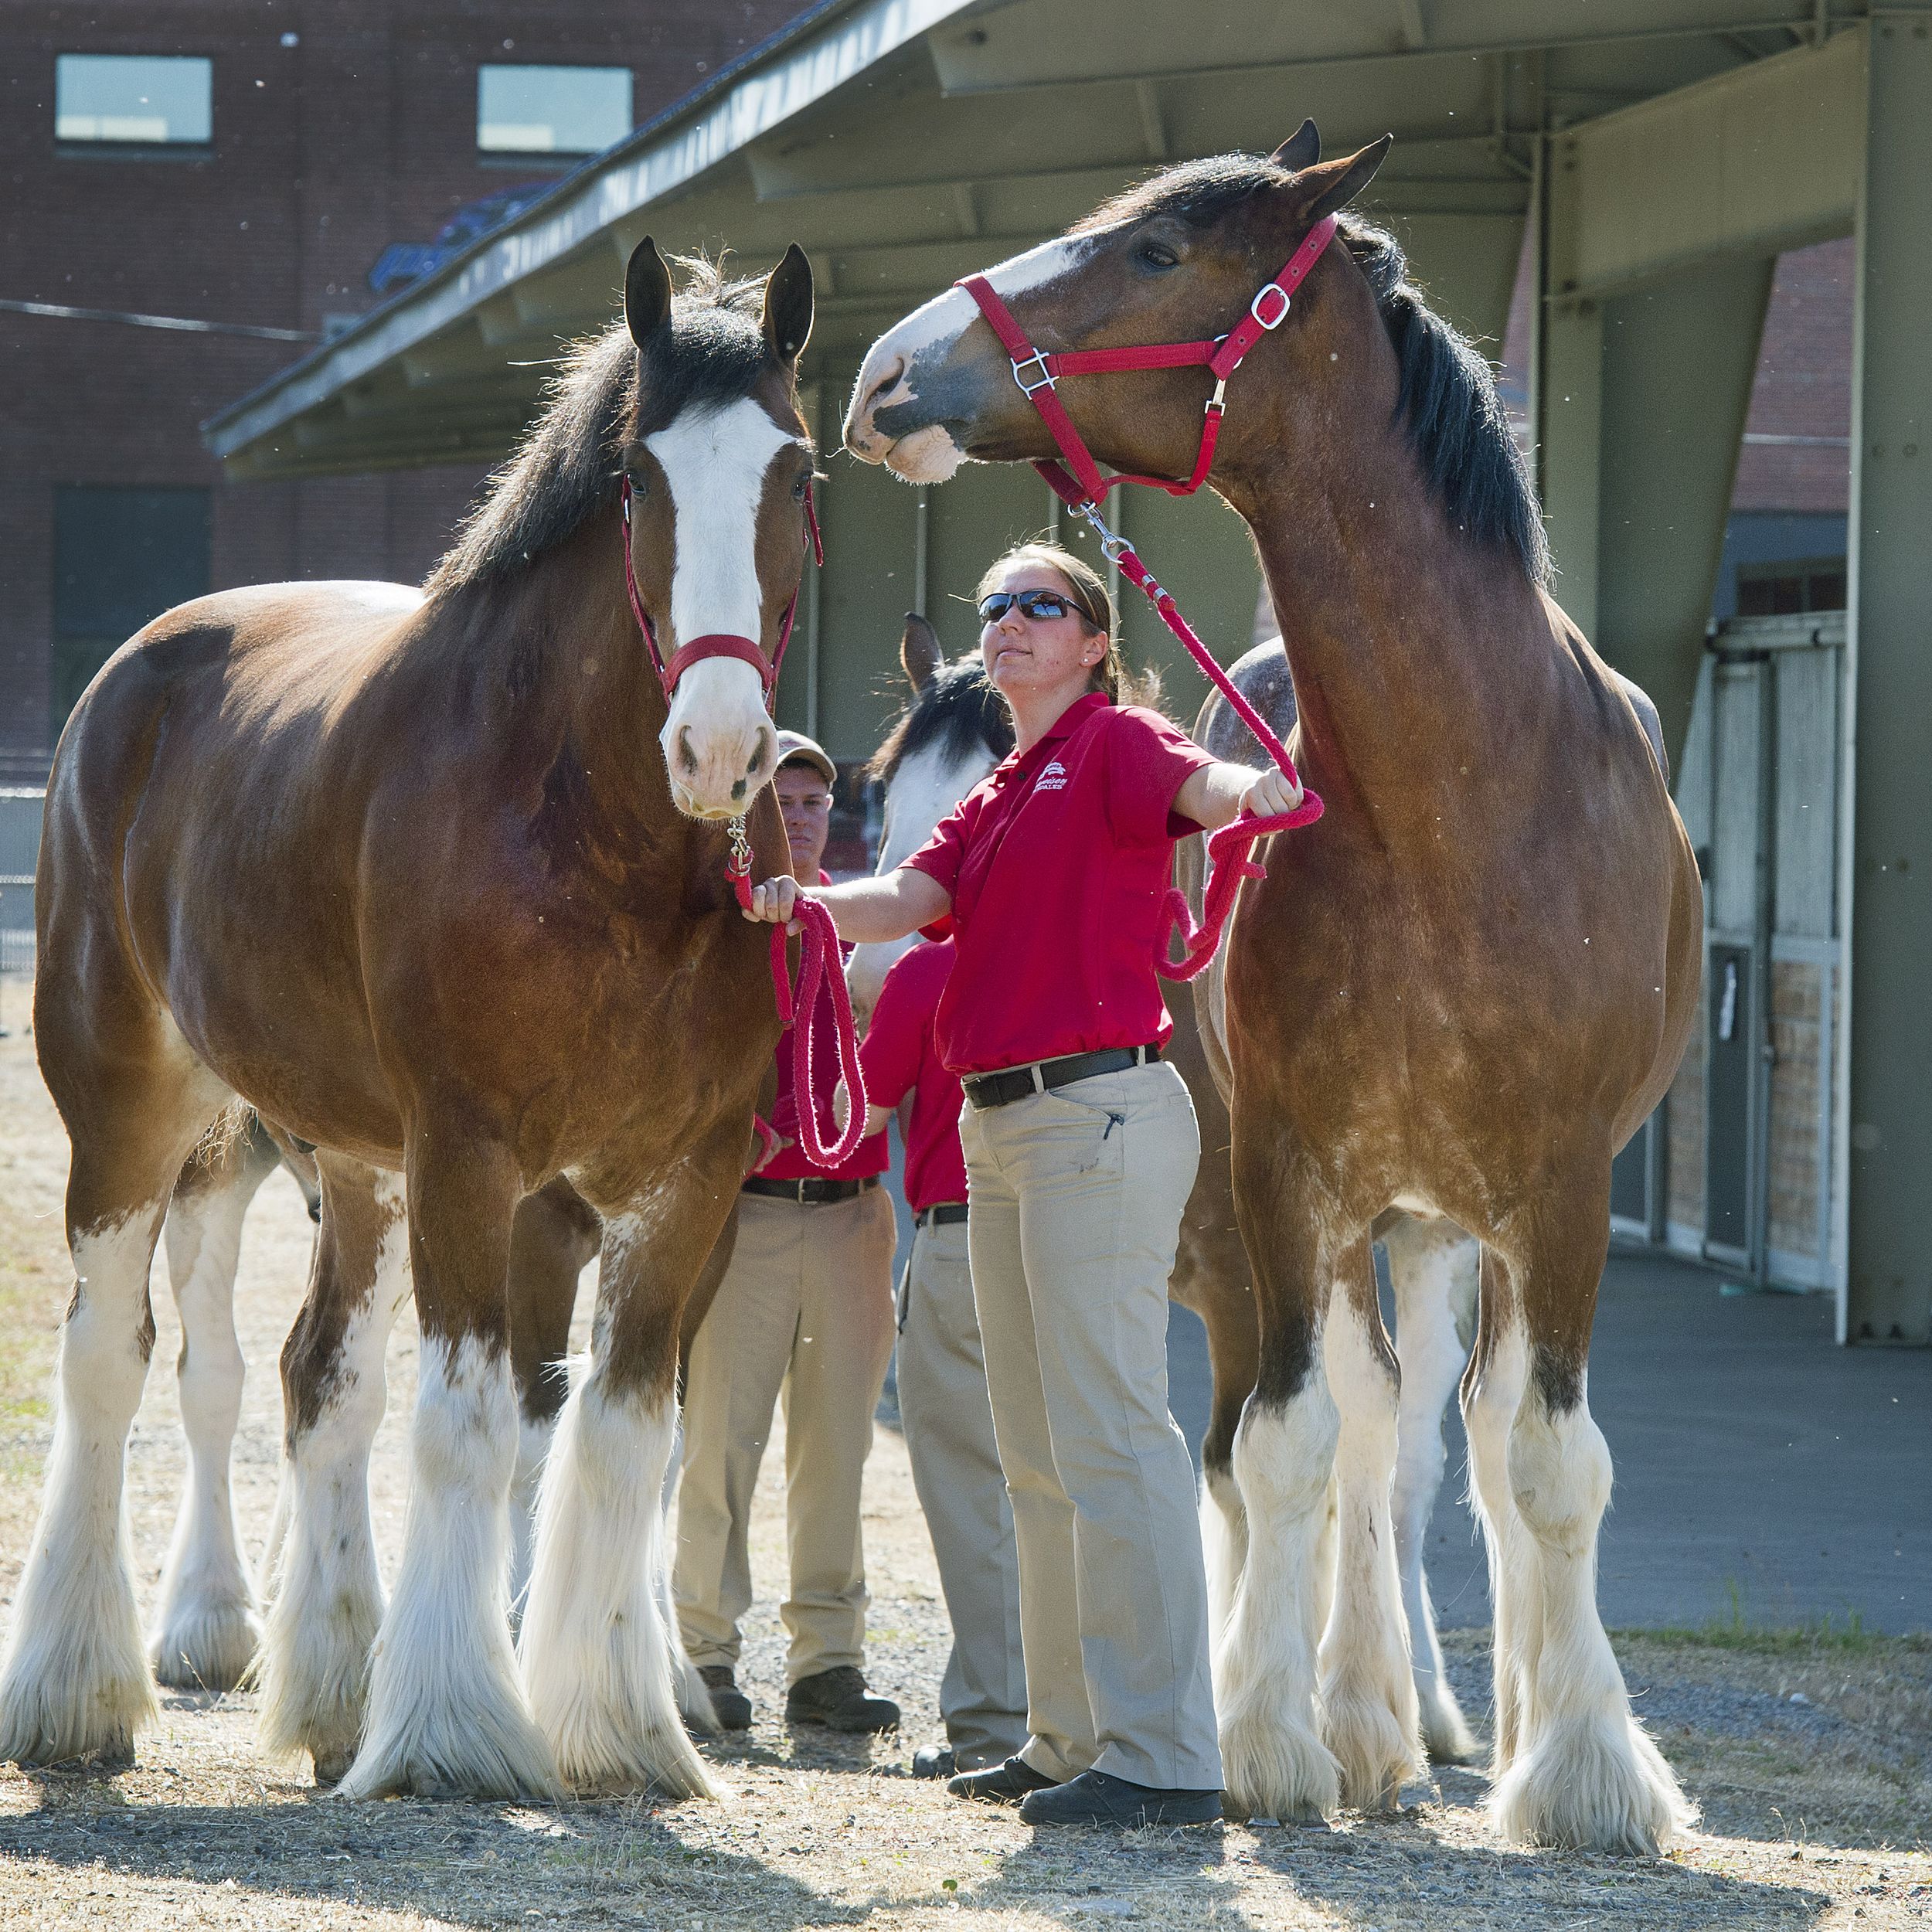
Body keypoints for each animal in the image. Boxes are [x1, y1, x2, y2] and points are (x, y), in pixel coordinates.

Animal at [0, 241, 815, 1793]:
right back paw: (77, 1693)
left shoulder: (686, 1179)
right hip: (137, 1114)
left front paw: (622, 1726)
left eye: (797, 472)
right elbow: (471, 1426)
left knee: (325, 1380)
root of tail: (128, 682)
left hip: (355, 1164)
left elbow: (623, 1432)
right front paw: (452, 1731)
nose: (722, 750)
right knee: (109, 1361)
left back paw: (329, 1689)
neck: (593, 833)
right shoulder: (476, 1158)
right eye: (641, 480)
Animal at [846, 128, 1708, 1847]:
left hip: (1455, 1220)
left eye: (1156, 248)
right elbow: (1286, 1448)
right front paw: (1270, 1729)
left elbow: (1544, 1464)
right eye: (871, 806)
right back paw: (1370, 1710)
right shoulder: (1282, 1174)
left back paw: (1484, 1711)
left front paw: (1587, 1767)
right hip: (1368, 1213)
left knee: (1468, 1439)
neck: (1460, 796)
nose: (888, 370)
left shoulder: (1560, 1183)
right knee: (1369, 1432)